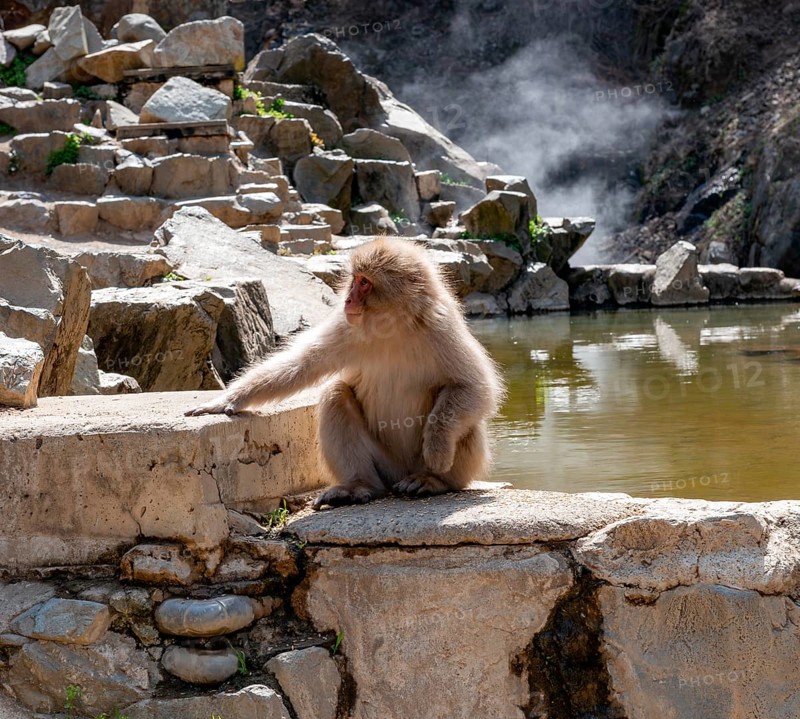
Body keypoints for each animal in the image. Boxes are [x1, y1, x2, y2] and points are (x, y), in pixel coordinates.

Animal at [186, 238, 505, 509]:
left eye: (364, 283)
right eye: (354, 280)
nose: (348, 299)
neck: (393, 326)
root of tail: (399, 475)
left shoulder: (441, 327)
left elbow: (473, 386)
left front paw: (437, 450)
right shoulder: (346, 326)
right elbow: (301, 364)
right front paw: (228, 399)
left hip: (444, 465)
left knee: (460, 414)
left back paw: (433, 480)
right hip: (385, 465)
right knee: (336, 394)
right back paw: (359, 486)